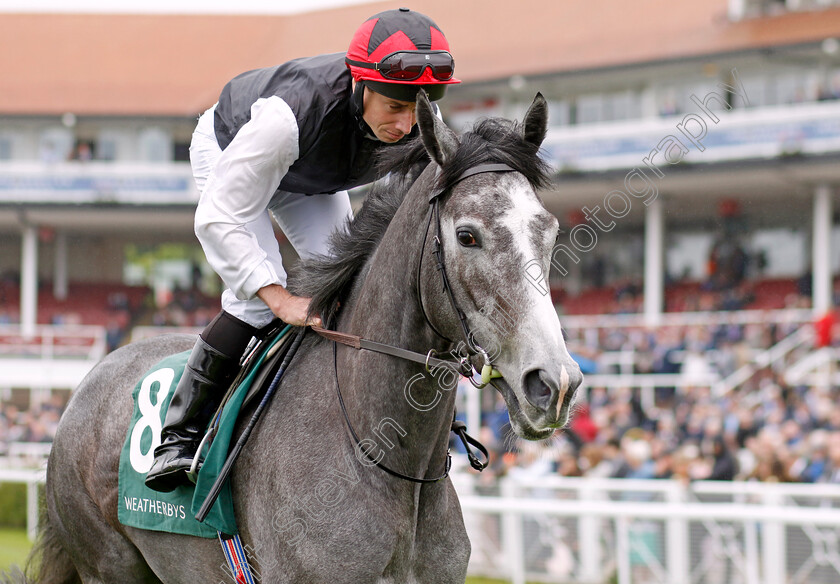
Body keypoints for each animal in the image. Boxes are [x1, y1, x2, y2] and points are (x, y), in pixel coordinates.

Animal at [14, 91, 576, 584]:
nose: (555, 384)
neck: (385, 459)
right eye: (467, 235)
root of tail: (94, 377)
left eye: (549, 231)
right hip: (106, 563)